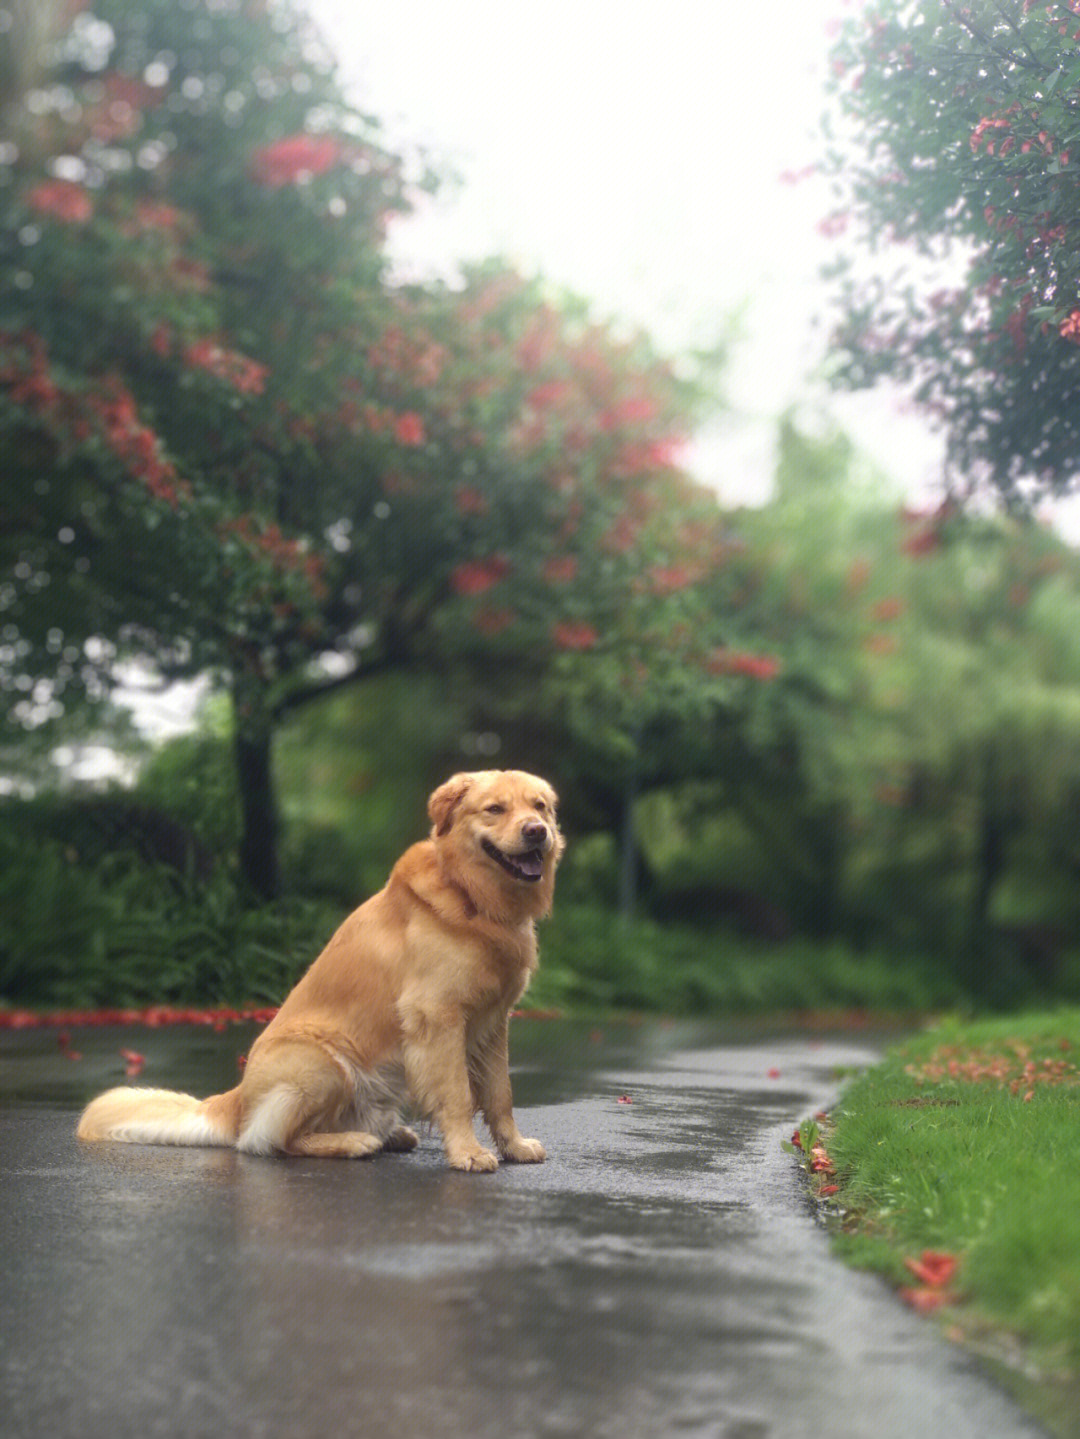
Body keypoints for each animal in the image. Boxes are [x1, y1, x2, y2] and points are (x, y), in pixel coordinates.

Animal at [76, 771, 566, 1174]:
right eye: (494, 809)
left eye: (539, 806)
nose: (537, 831)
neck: (472, 898)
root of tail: (235, 1100)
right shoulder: (437, 1018)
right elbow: (459, 1095)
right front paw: (468, 1153)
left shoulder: (493, 1023)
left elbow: (501, 1095)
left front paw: (514, 1147)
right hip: (323, 1064)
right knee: (268, 1142)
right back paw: (353, 1142)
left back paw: (388, 1134)